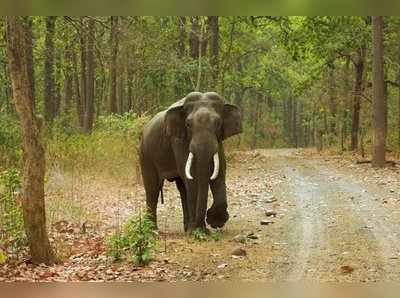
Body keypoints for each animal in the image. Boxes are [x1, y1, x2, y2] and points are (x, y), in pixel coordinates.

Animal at [139, 91, 242, 233]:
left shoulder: (219, 141)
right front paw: (198, 231)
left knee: (182, 188)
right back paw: (153, 231)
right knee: (152, 189)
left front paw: (214, 222)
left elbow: (220, 173)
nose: (204, 227)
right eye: (188, 124)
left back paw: (187, 228)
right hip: (146, 155)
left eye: (218, 123)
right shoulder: (178, 139)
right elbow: (193, 178)